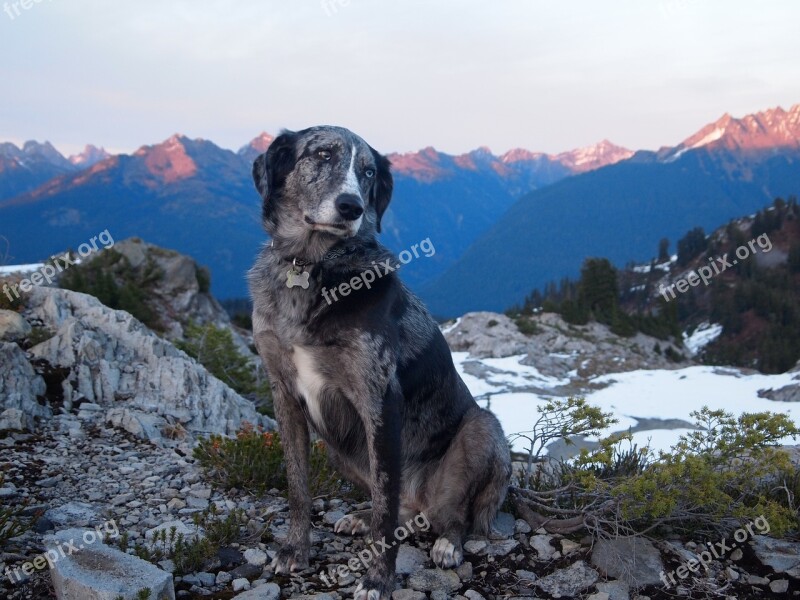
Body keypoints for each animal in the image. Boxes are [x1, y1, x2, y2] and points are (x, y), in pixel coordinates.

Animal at [248, 126, 512, 600]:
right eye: (322, 154)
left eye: (369, 172)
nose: (351, 206)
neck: (312, 264)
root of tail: (422, 501)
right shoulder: (284, 395)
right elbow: (297, 487)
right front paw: (295, 550)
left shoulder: (379, 400)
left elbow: (386, 512)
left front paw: (377, 579)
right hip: (339, 449)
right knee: (395, 505)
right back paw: (360, 517)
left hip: (481, 431)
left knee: (453, 514)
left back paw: (447, 543)